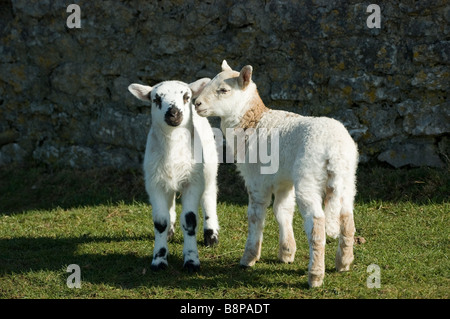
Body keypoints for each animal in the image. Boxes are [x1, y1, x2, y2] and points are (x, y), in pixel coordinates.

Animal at [127, 79, 219, 272]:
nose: (174, 113)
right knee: (170, 204)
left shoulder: (193, 183)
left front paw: (191, 261)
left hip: (208, 168)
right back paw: (170, 231)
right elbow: (160, 222)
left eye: (186, 97)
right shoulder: (154, 184)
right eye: (156, 99)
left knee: (209, 196)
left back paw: (211, 235)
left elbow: (190, 220)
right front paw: (159, 260)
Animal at [193, 61, 358, 288]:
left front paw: (249, 257)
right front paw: (287, 253)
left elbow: (255, 216)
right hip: (348, 177)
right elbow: (283, 210)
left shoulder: (256, 179)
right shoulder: (282, 180)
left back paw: (315, 276)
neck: (252, 122)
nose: (196, 103)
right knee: (347, 217)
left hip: (308, 175)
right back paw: (344, 262)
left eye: (224, 90)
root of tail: (335, 150)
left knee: (317, 223)